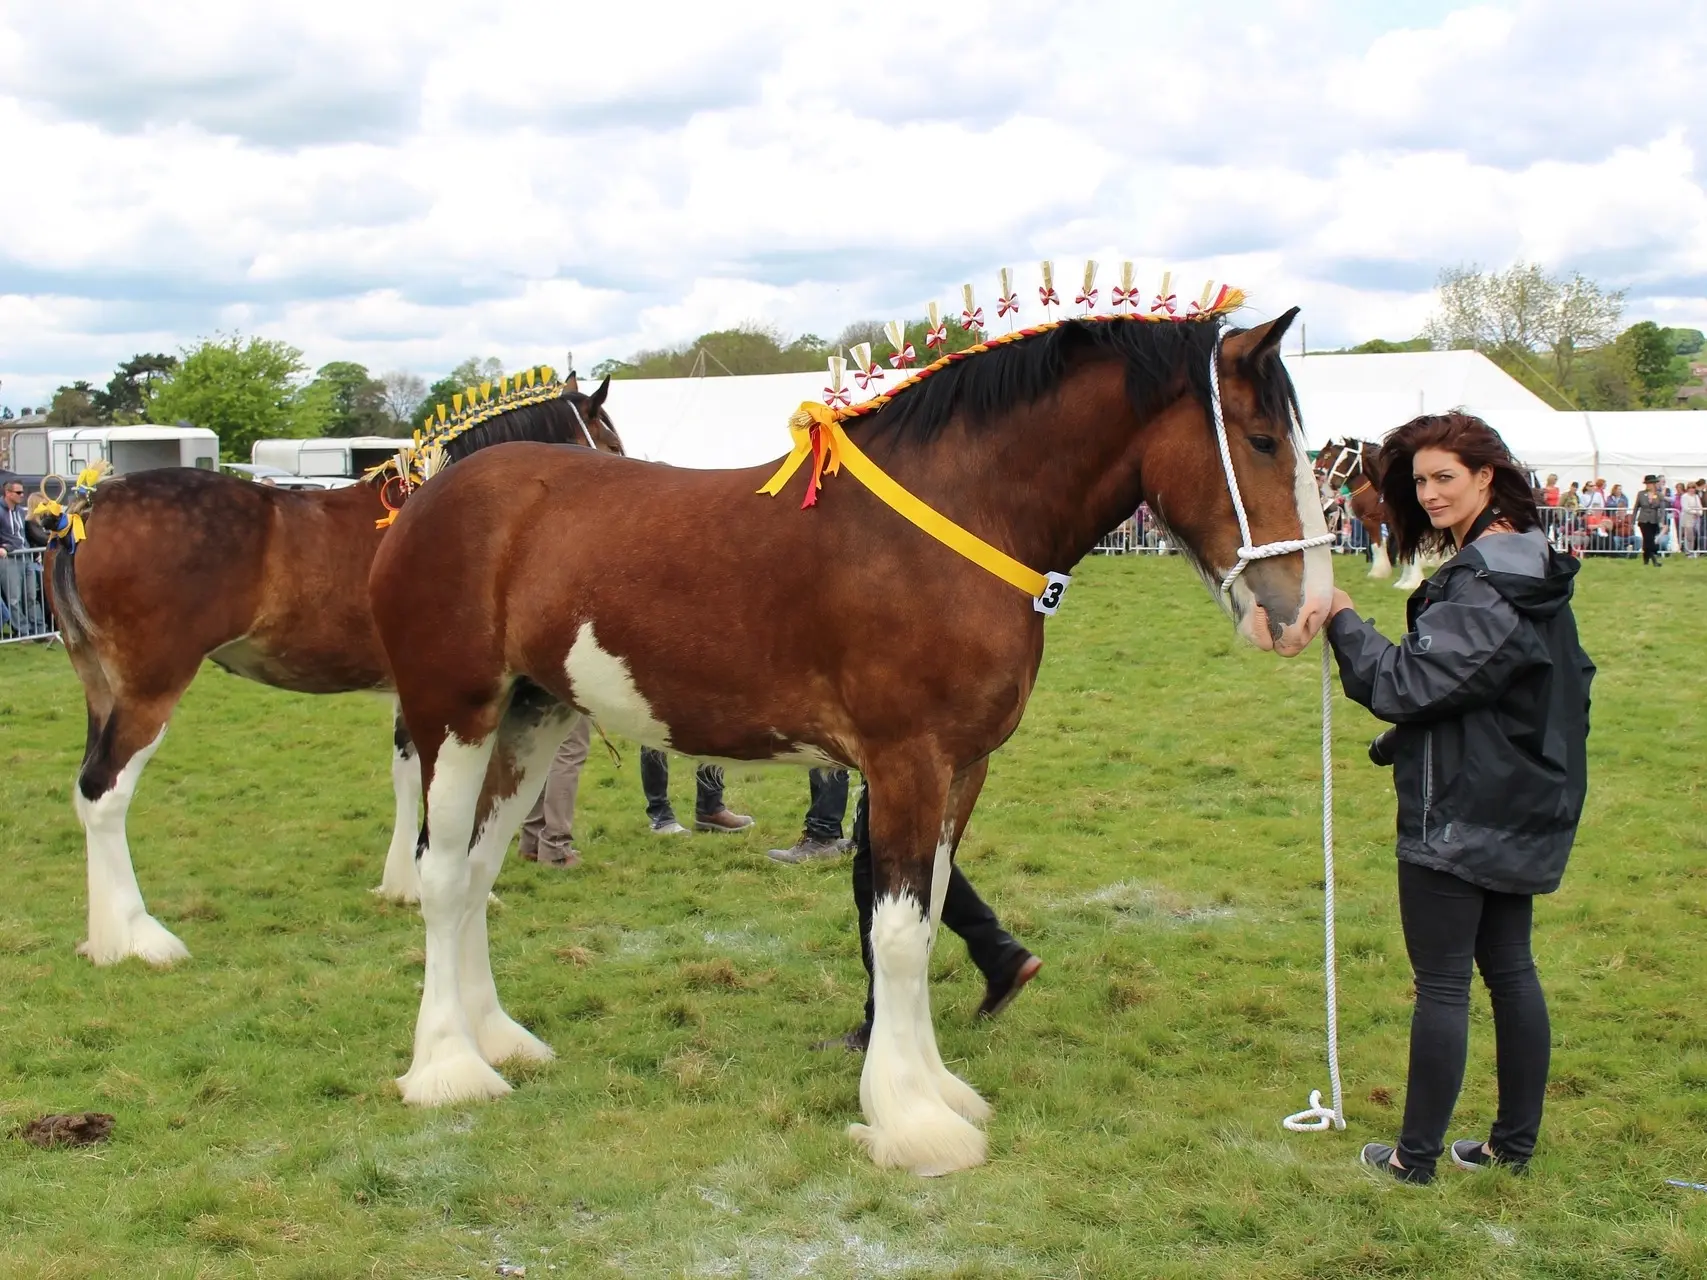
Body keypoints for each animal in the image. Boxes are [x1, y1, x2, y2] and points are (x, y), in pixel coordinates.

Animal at [43, 375, 624, 969]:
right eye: (609, 440)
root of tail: (85, 507)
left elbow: (406, 776)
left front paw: (403, 885)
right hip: (150, 689)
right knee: (106, 792)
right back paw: (138, 938)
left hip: (100, 688)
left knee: (86, 790)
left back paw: (105, 938)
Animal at [370, 305, 1331, 1181]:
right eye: (1259, 440)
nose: (1308, 612)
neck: (954, 516)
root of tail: (424, 501)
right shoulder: (906, 760)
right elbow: (898, 933)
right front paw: (911, 1123)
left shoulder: (961, 769)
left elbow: (929, 914)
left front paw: (937, 1091)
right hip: (455, 715)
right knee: (443, 876)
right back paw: (449, 1068)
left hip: (532, 716)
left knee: (480, 869)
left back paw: (497, 1040)